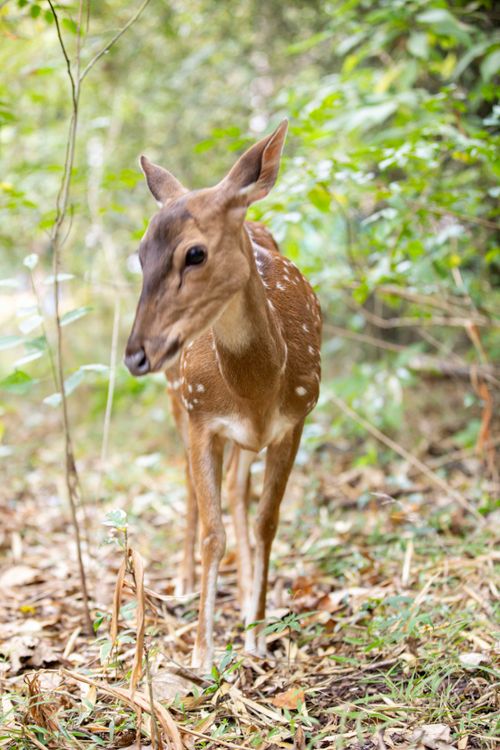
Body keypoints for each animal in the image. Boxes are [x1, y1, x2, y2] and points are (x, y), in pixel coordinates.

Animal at [124, 120, 322, 671]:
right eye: (140, 253)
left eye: (194, 252)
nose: (136, 354)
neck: (256, 390)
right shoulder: (200, 416)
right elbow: (214, 533)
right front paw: (201, 653)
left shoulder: (297, 417)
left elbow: (266, 521)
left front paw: (256, 636)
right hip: (178, 401)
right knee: (191, 488)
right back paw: (184, 581)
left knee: (237, 490)